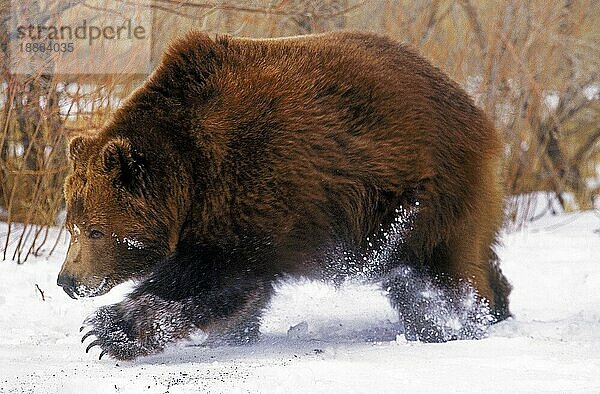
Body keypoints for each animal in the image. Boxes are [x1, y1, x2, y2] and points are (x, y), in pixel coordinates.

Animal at [57, 30, 510, 360]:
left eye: (95, 231)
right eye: (73, 226)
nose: (67, 281)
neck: (190, 174)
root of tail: (477, 113)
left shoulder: (254, 189)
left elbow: (211, 278)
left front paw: (104, 331)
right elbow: (239, 291)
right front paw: (232, 332)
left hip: (421, 194)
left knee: (439, 272)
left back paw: (454, 323)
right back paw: (497, 306)